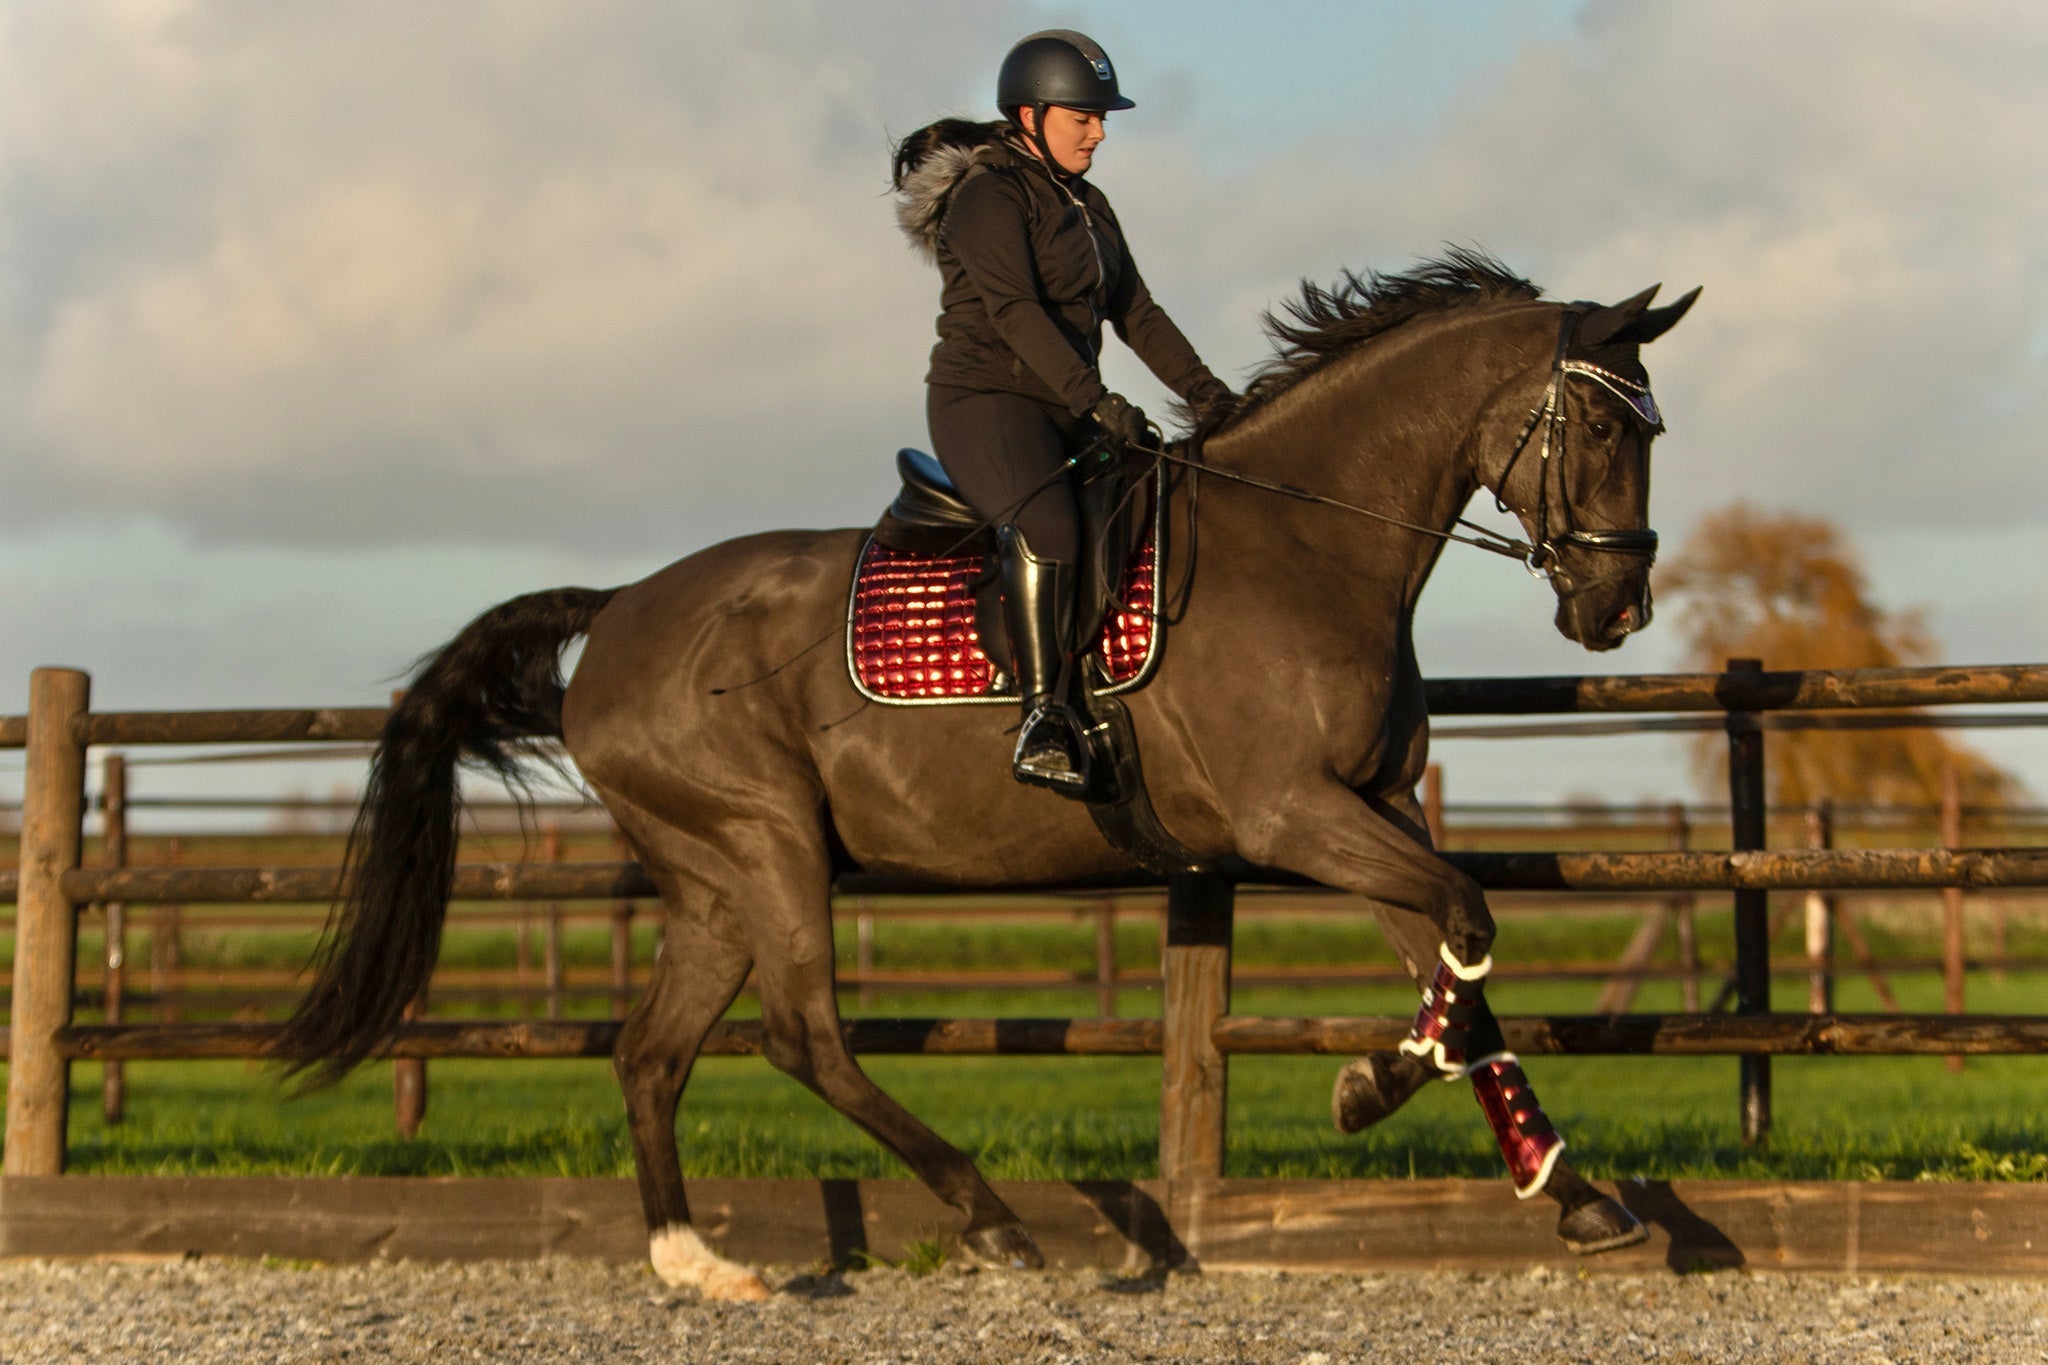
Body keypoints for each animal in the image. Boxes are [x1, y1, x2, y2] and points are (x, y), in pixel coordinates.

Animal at [276, 250, 1695, 1301]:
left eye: (1651, 427)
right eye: (1602, 425)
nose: (1616, 609)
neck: (1308, 542)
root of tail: (618, 610)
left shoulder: (1376, 807)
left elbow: (1463, 978)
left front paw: (1573, 1197)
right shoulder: (1290, 814)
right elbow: (1467, 921)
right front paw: (1361, 1092)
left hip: (711, 881)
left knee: (651, 1052)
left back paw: (696, 1264)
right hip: (764, 843)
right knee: (801, 1036)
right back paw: (992, 1219)